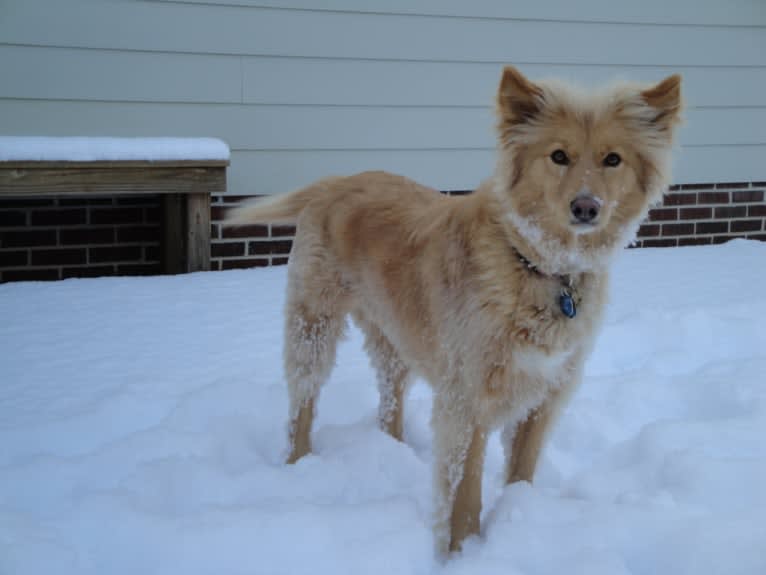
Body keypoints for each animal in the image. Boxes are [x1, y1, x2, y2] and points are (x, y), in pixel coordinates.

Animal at [228, 66, 684, 552]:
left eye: (613, 159)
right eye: (559, 156)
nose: (586, 207)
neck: (536, 266)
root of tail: (337, 180)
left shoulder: (546, 395)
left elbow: (521, 473)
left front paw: (515, 521)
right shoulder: (467, 400)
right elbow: (464, 493)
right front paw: (460, 553)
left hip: (394, 335)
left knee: (390, 399)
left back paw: (395, 450)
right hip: (312, 323)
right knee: (302, 400)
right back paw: (298, 463)